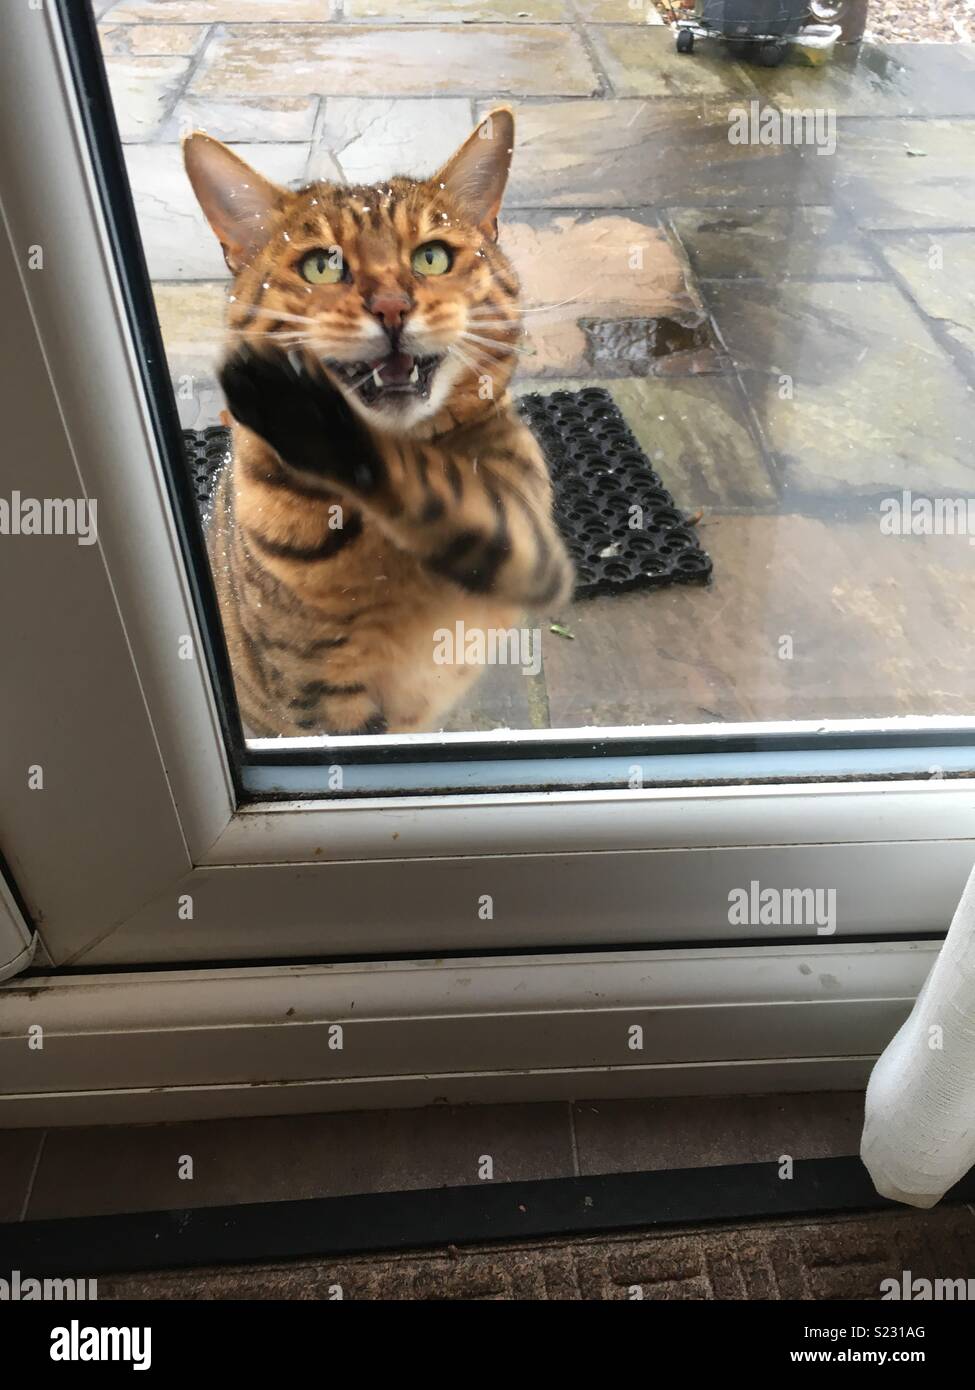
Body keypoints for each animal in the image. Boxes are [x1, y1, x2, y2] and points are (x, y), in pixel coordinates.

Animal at [182, 108, 570, 739]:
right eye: (321, 265)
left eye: (432, 257)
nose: (391, 307)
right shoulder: (315, 703)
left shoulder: (533, 537)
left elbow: (442, 486)